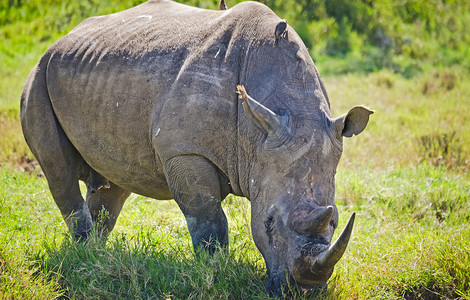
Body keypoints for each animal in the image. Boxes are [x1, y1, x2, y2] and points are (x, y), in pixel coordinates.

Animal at [21, 0, 374, 296]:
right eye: (269, 223)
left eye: (335, 221)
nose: (303, 290)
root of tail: (60, 41)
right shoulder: (185, 150)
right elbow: (208, 218)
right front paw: (214, 273)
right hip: (39, 76)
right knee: (59, 171)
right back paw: (83, 254)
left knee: (114, 183)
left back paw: (97, 255)